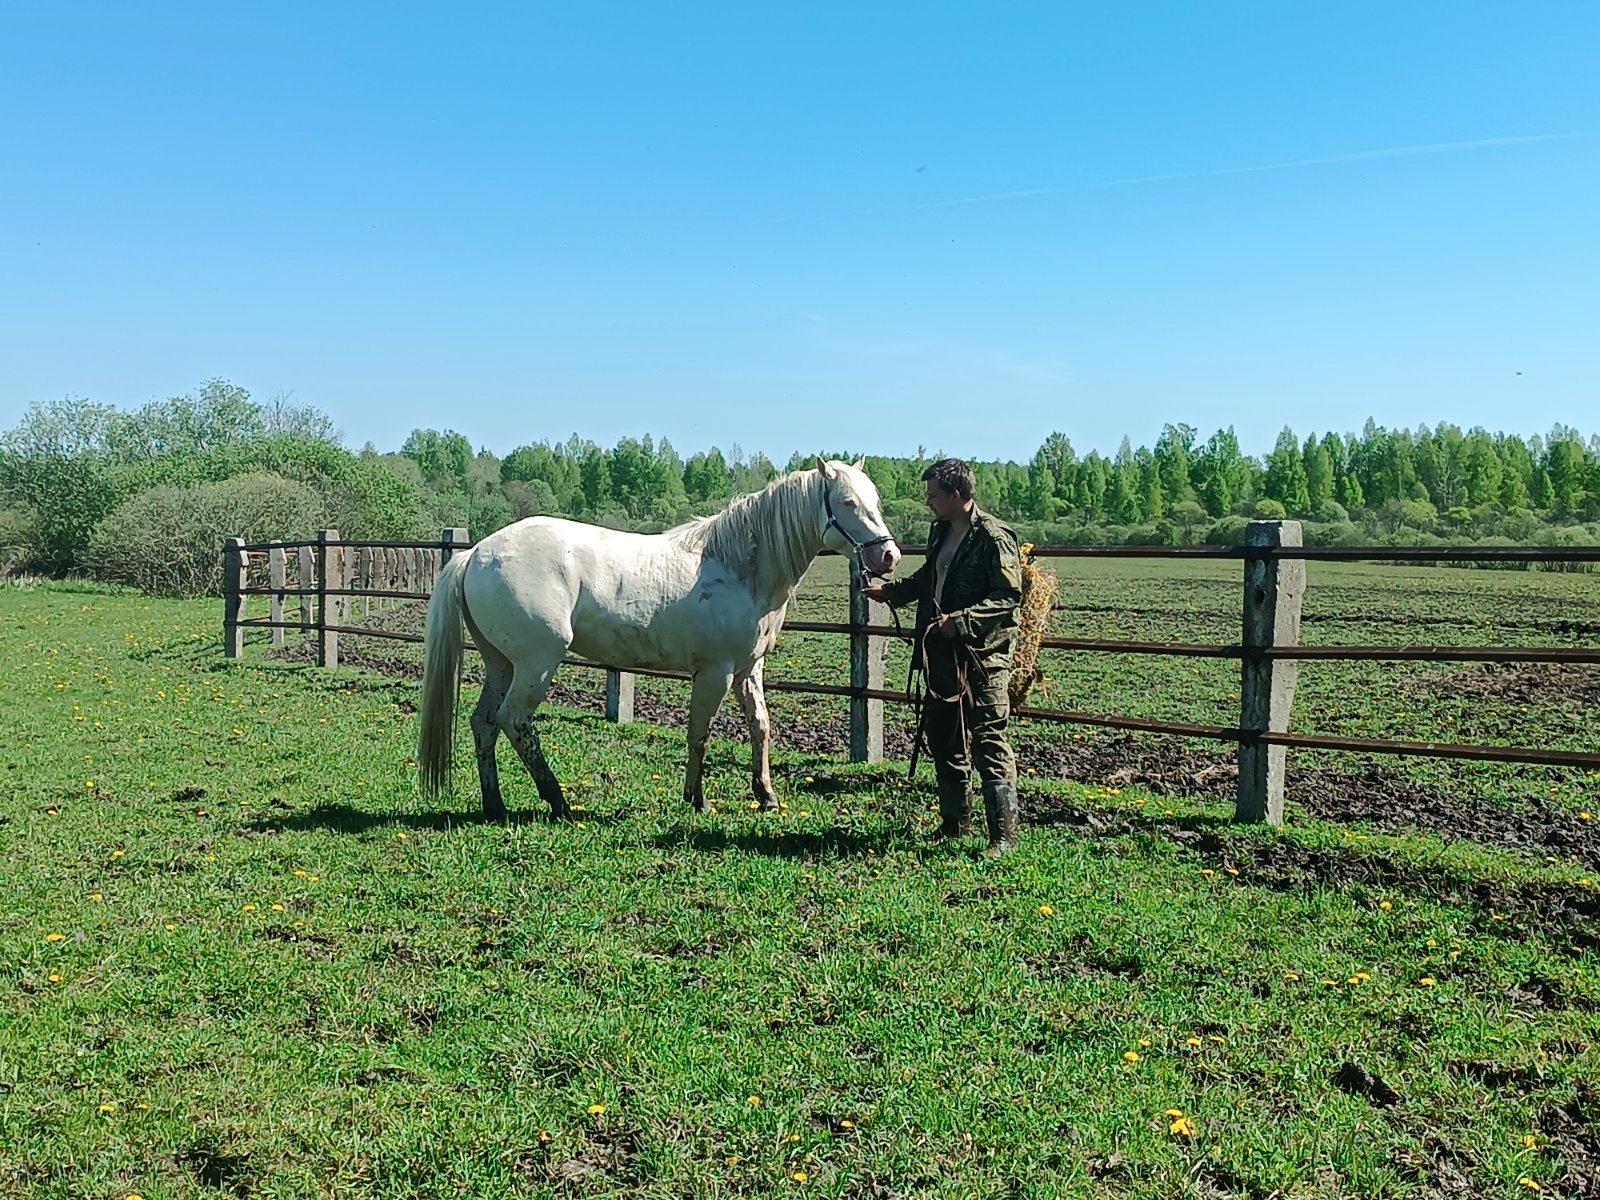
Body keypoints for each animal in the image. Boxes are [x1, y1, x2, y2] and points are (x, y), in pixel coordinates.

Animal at [417, 457, 900, 819]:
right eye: (847, 501)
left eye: (874, 500)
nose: (889, 556)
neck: (738, 567)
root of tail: (477, 552)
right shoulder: (715, 673)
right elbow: (699, 733)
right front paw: (697, 800)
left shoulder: (749, 669)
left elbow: (760, 727)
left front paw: (766, 795)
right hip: (537, 663)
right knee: (514, 722)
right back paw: (558, 802)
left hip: (502, 663)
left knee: (484, 722)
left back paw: (495, 805)